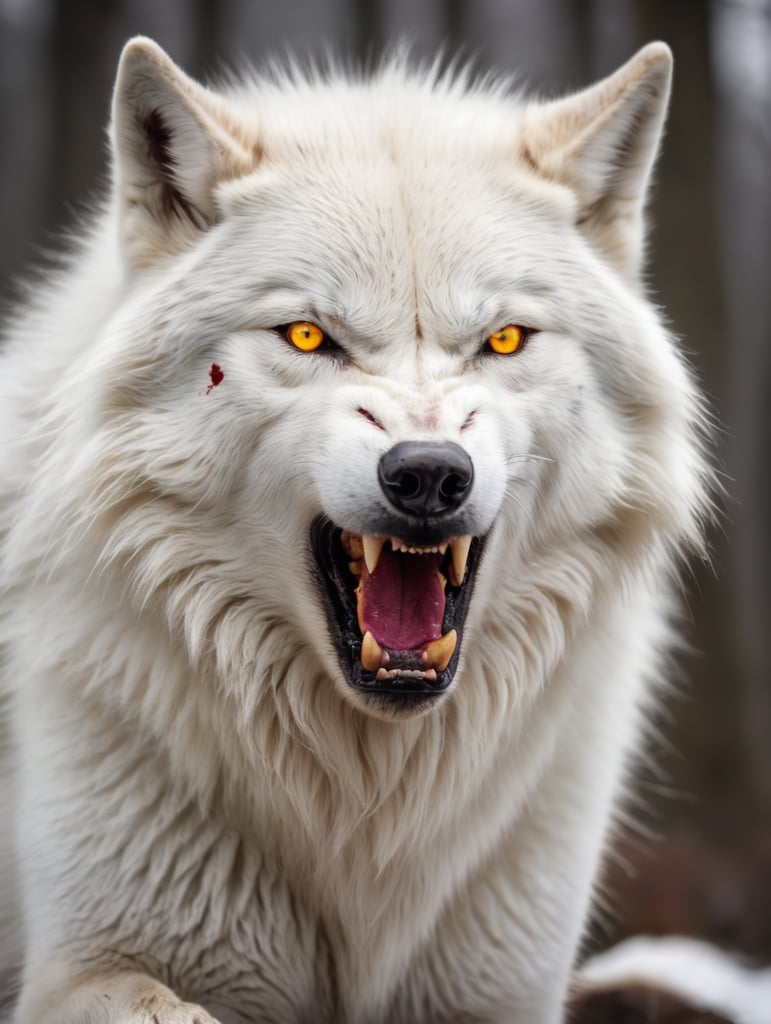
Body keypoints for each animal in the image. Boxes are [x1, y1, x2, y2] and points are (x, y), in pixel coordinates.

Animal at [0, 36, 708, 1024]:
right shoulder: (85, 965)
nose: (428, 474)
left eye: (502, 340)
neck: (366, 806)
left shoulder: (499, 990)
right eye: (306, 336)